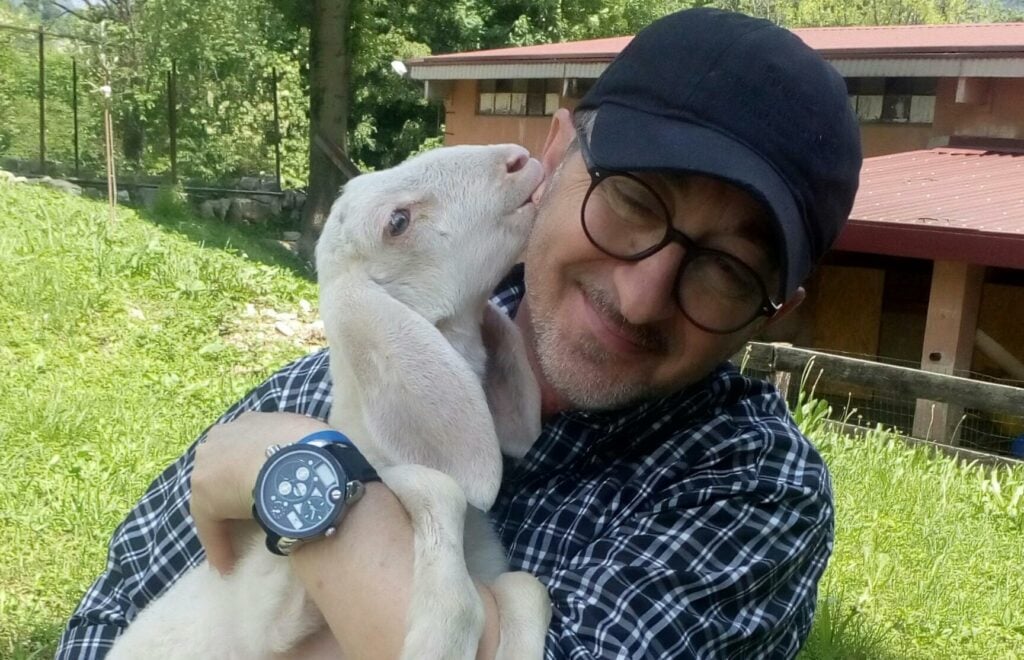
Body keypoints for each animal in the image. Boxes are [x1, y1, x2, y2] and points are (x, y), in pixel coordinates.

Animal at [111, 145, 552, 658]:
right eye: (397, 222)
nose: (518, 158)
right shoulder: (266, 611)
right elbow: (436, 483)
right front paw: (441, 636)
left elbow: (527, 587)